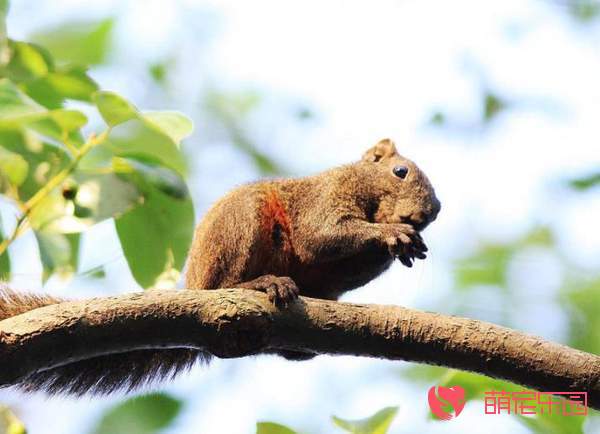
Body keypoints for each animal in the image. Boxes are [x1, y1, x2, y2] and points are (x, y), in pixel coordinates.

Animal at [0, 137, 440, 396]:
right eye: (400, 171)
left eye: (435, 214)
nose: (422, 215)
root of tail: (195, 288)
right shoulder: (324, 199)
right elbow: (321, 236)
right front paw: (390, 233)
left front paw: (406, 242)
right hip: (243, 221)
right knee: (227, 283)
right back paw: (260, 285)